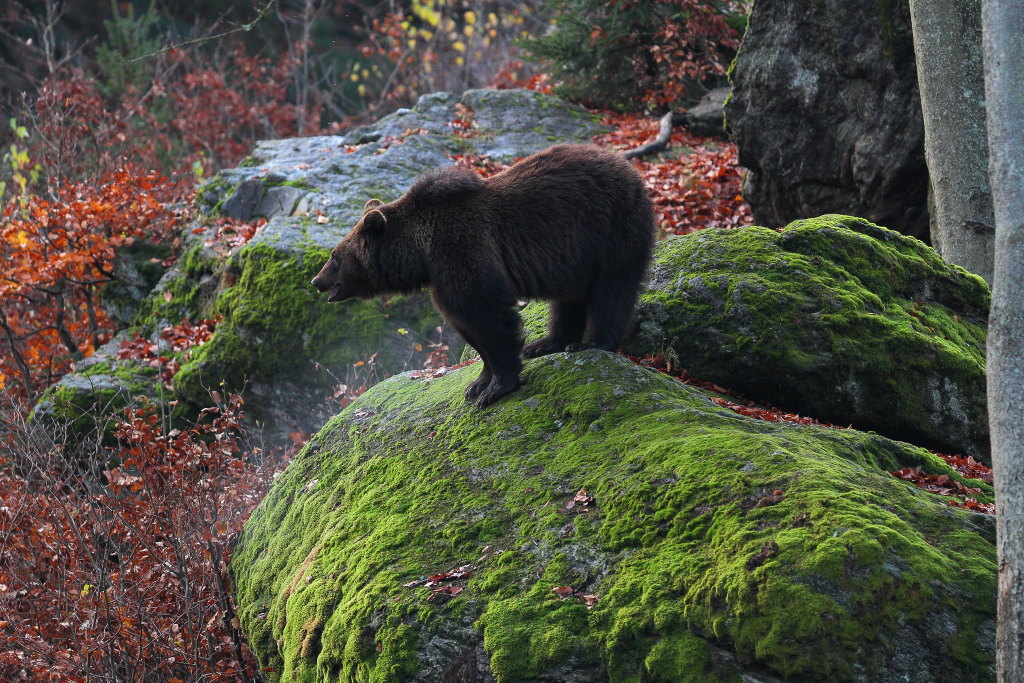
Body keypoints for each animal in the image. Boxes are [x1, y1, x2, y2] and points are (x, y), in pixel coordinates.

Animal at [312, 143, 656, 407]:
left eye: (334, 256)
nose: (317, 281)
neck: (421, 254)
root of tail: (630, 169)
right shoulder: (442, 278)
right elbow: (468, 327)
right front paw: (477, 382)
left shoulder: (463, 252)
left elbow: (489, 318)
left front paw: (495, 389)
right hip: (574, 255)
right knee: (567, 299)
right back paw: (547, 343)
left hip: (611, 232)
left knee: (612, 291)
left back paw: (592, 343)